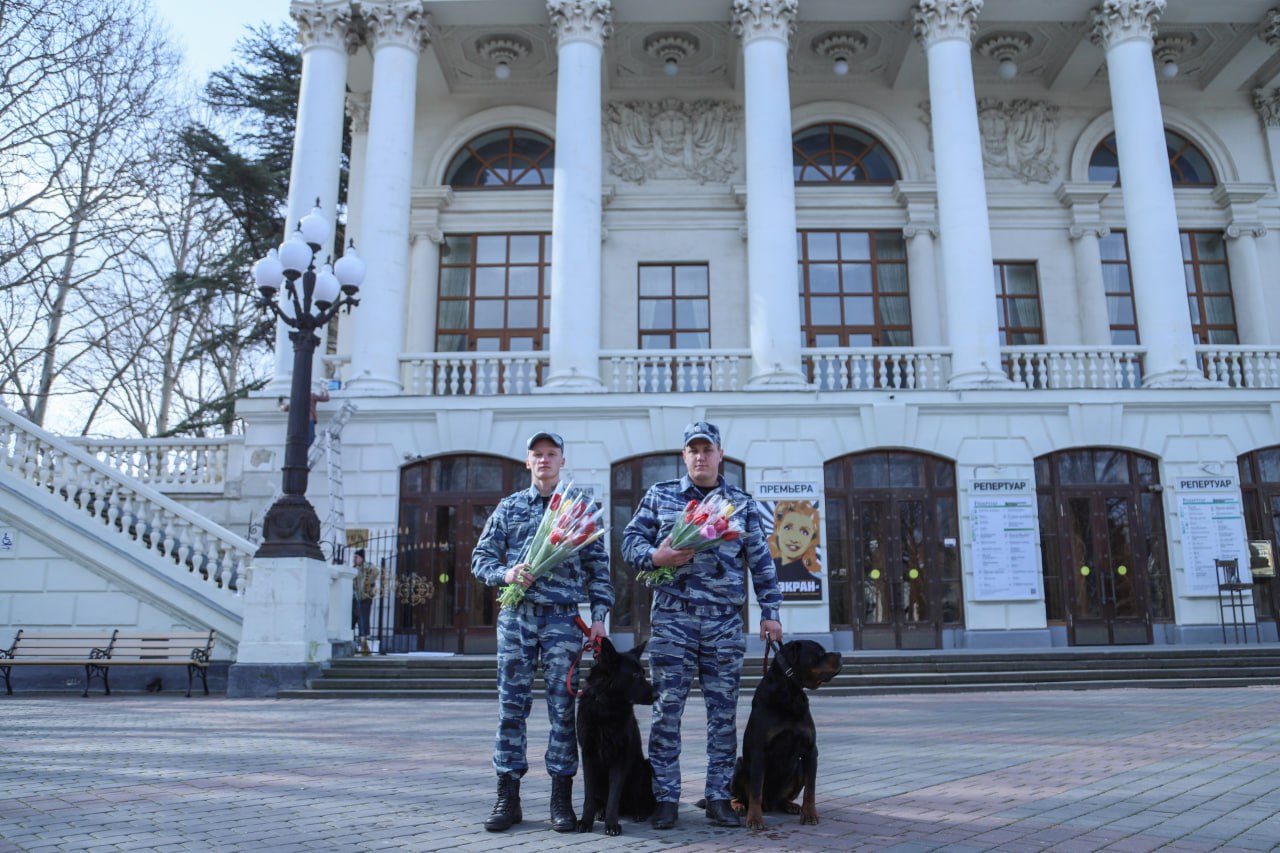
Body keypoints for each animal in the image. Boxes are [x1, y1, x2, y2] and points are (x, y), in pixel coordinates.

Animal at [581, 635, 660, 835]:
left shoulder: (619, 757)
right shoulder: (588, 756)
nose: (658, 695)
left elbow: (614, 797)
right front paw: (586, 821)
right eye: (635, 675)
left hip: (645, 768)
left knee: (638, 801)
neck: (607, 709)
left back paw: (639, 812)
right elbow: (588, 795)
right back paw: (599, 812)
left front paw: (612, 824)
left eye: (643, 672)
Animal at [732, 637, 839, 824]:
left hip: (799, 768)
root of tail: (770, 804)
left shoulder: (811, 750)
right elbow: (755, 791)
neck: (790, 690)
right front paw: (755, 819)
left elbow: (810, 789)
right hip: (739, 766)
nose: (840, 654)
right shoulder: (759, 751)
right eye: (819, 652)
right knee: (739, 795)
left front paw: (810, 814)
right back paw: (738, 806)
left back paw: (790, 805)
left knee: (783, 798)